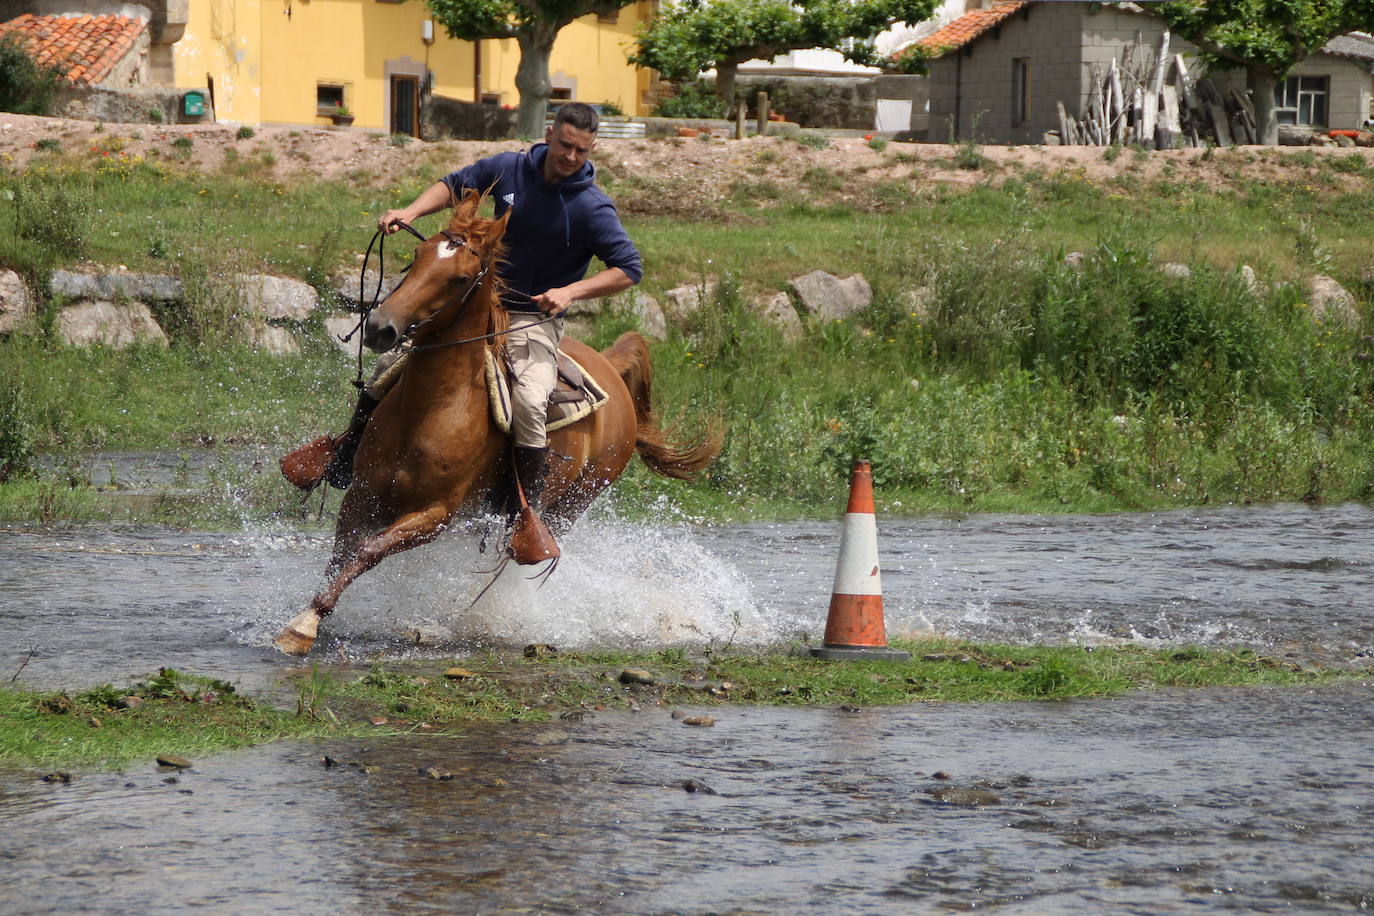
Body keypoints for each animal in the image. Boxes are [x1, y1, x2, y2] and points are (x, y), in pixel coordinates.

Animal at [270, 192, 719, 659]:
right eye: (417, 256)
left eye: (459, 278)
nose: (379, 328)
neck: (430, 410)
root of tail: (611, 368)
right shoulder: (362, 495)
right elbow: (341, 554)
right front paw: (309, 616)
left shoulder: (434, 516)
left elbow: (366, 551)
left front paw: (303, 626)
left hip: (570, 504)